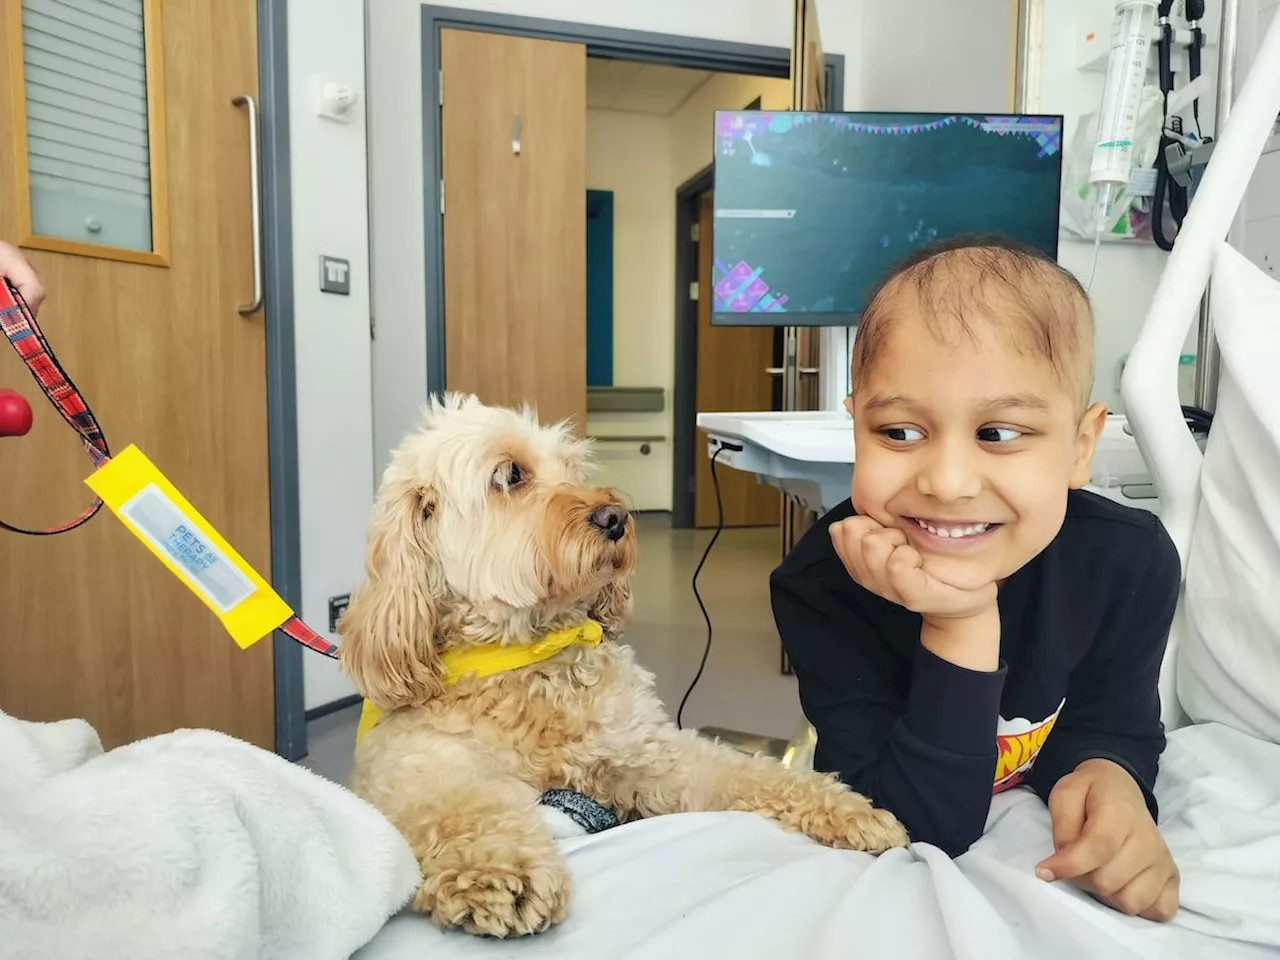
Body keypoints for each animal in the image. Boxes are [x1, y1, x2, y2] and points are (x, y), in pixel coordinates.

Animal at [335, 391, 906, 942]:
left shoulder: (651, 755)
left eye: (573, 468)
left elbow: (744, 771)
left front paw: (849, 810)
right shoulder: (418, 772)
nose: (614, 517)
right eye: (511, 475)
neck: (532, 657)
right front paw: (502, 872)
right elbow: (468, 808)